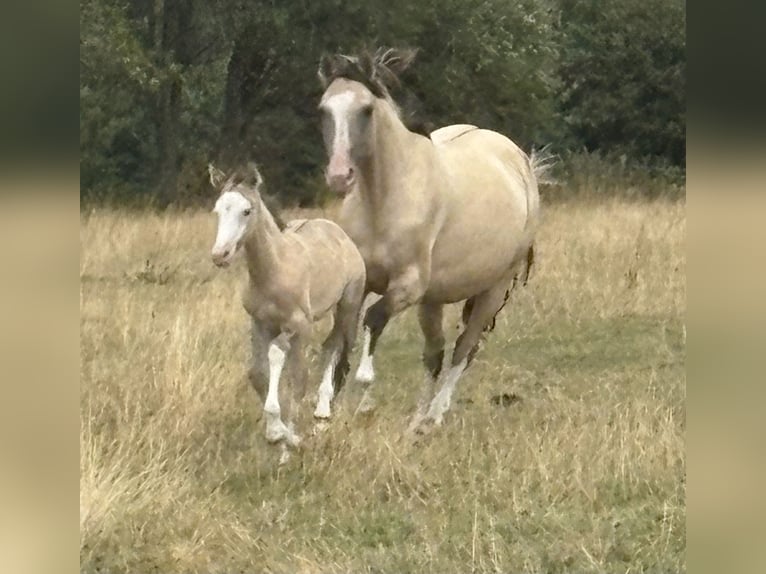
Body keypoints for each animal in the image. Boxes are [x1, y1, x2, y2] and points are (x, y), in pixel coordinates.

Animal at [209, 162, 366, 460]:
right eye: (218, 210)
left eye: (247, 211)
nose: (220, 255)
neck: (275, 269)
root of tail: (338, 232)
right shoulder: (260, 324)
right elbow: (258, 374)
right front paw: (279, 436)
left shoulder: (298, 326)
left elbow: (292, 375)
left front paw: (286, 439)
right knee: (328, 346)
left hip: (347, 306)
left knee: (336, 347)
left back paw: (323, 413)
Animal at [317, 48, 545, 435]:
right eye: (324, 109)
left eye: (366, 110)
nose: (338, 176)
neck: (383, 200)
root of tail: (523, 163)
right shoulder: (360, 283)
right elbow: (339, 340)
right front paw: (322, 413)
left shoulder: (407, 286)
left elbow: (373, 320)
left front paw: (363, 396)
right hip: (434, 299)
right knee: (435, 354)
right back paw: (416, 423)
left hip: (493, 288)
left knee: (464, 348)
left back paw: (434, 417)